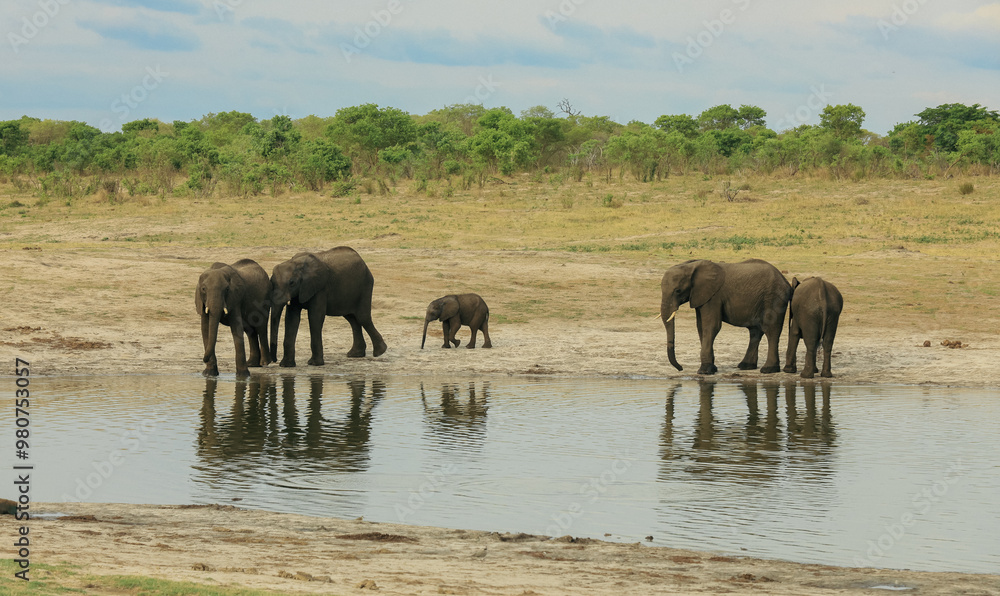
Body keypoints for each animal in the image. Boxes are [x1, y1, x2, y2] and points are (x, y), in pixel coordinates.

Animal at [660, 259, 791, 375]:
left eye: (678, 291)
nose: (681, 368)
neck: (690, 266)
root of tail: (786, 282)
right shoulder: (701, 297)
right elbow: (701, 327)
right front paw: (712, 368)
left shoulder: (714, 297)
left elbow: (711, 326)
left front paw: (704, 371)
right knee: (755, 331)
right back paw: (746, 366)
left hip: (774, 298)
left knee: (771, 330)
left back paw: (768, 369)